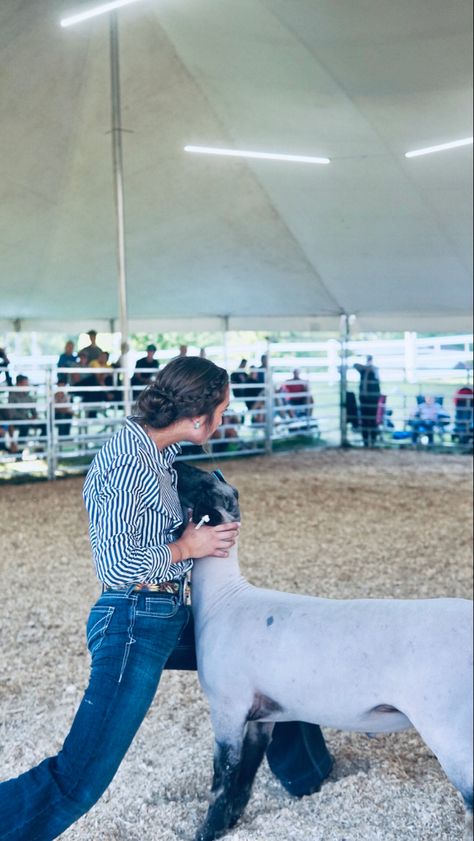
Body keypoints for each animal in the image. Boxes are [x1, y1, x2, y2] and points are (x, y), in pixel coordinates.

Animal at [176, 462, 474, 840]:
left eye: (203, 487)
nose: (176, 464)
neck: (223, 598)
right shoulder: (264, 713)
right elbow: (248, 771)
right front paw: (232, 819)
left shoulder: (228, 705)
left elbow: (224, 772)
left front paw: (208, 829)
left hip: (448, 725)